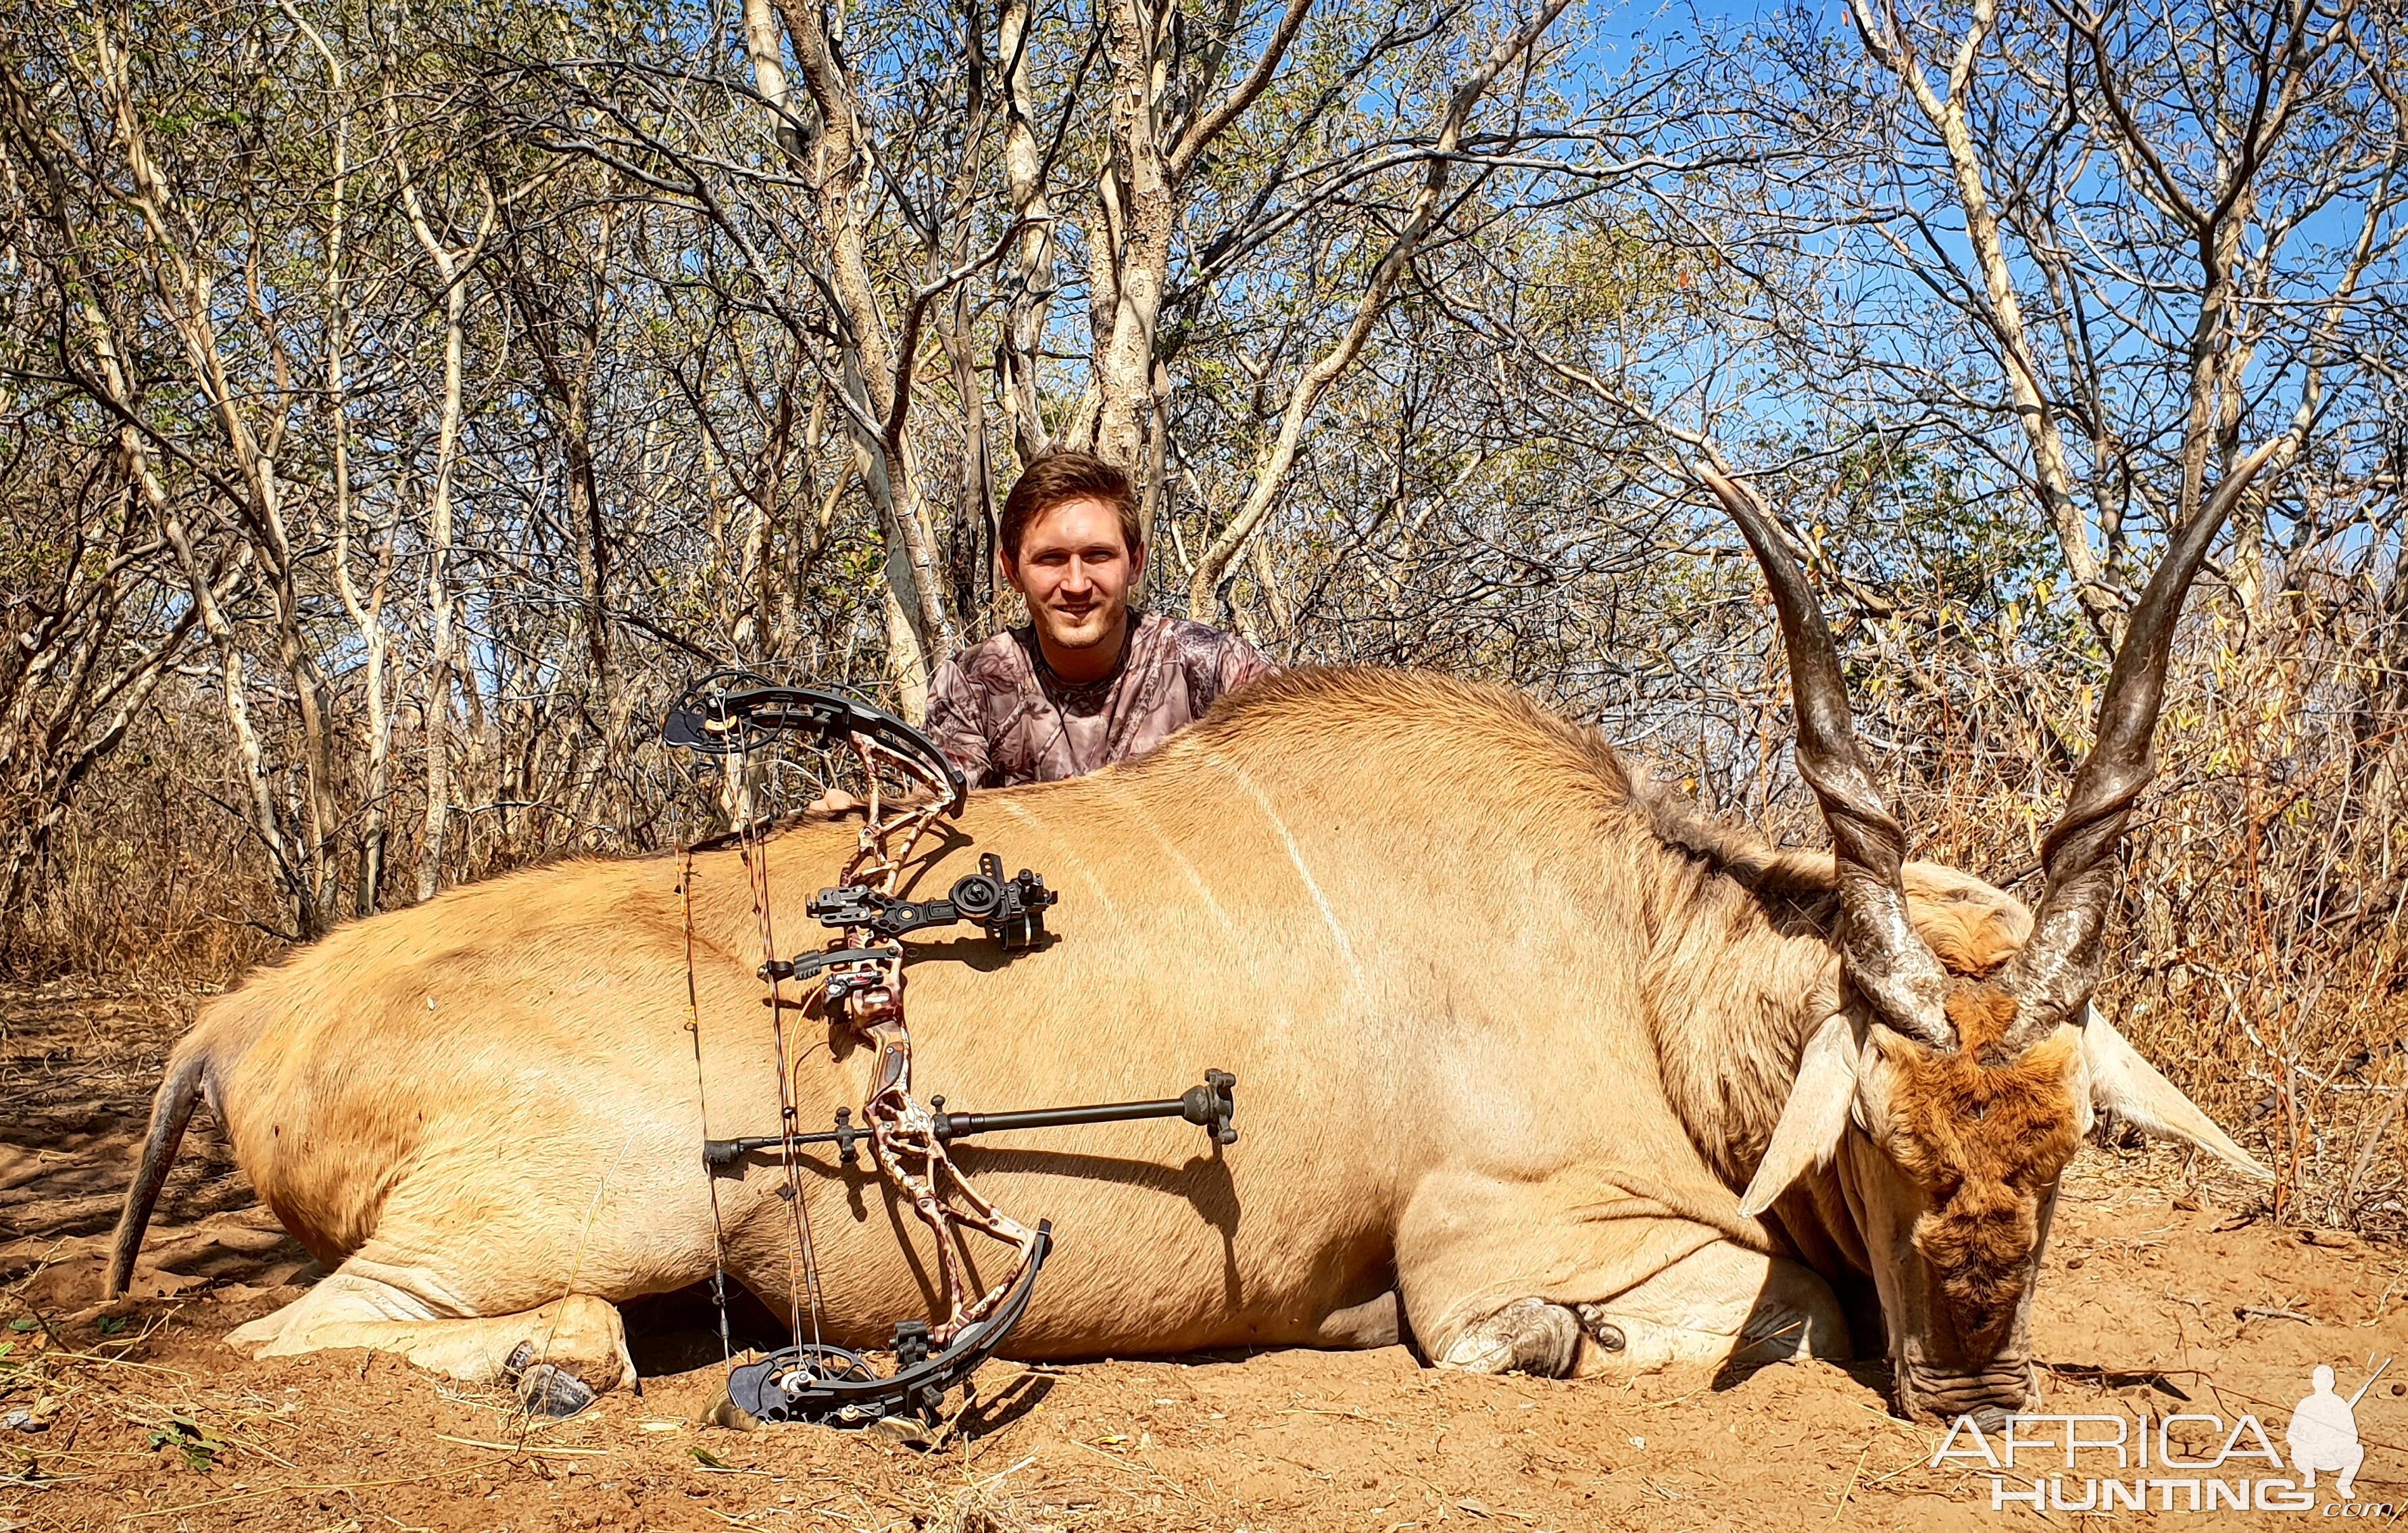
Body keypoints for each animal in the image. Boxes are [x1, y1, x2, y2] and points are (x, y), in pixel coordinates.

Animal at [108, 457, 2253, 1424]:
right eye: (1880, 1134)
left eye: (2071, 1142)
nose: (1977, 1388)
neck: (1640, 951)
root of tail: (245, 1014)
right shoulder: (1504, 1234)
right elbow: (1672, 1312)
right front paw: (1543, 1344)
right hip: (607, 1200)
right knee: (315, 1329)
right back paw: (567, 1366)